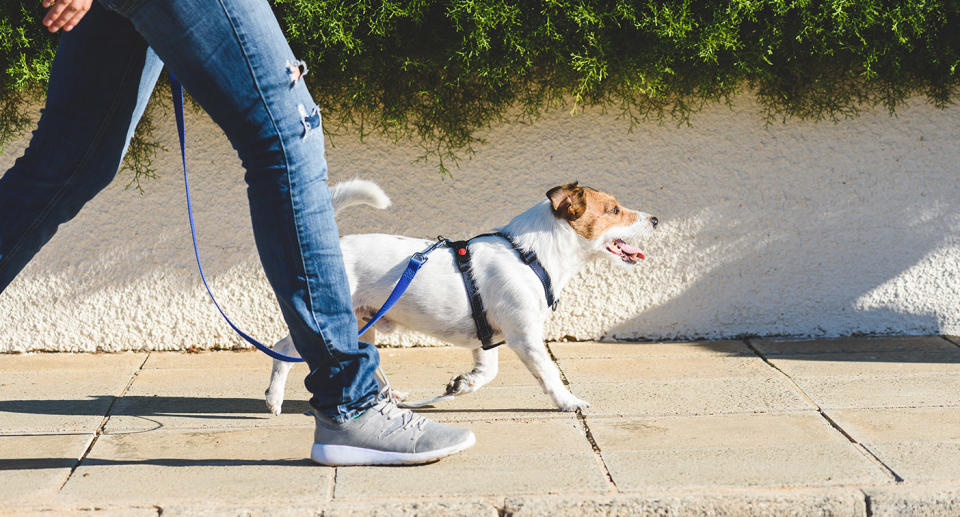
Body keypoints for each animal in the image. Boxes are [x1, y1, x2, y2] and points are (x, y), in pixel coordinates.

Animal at [266, 179, 660, 414]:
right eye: (614, 210)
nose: (656, 219)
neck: (531, 254)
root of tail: (334, 246)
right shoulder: (526, 337)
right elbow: (549, 375)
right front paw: (569, 401)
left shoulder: (489, 338)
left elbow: (486, 372)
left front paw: (462, 384)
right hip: (333, 321)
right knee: (283, 350)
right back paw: (274, 399)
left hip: (365, 324)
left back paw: (390, 397)